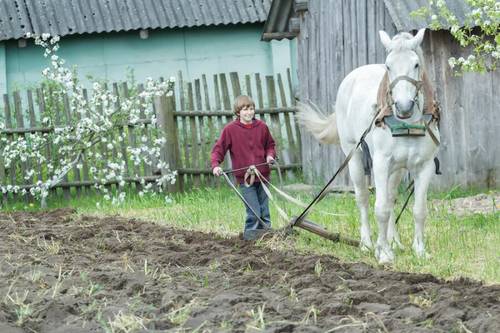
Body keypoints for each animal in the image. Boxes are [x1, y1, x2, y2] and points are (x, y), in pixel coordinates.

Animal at [298, 29, 440, 262]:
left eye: (416, 64)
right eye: (388, 66)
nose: (404, 107)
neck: (406, 124)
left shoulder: (424, 166)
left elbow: (419, 209)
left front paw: (419, 251)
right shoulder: (381, 163)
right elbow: (380, 208)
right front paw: (383, 254)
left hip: (397, 170)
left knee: (390, 197)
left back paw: (394, 242)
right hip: (354, 157)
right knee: (363, 199)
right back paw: (367, 243)